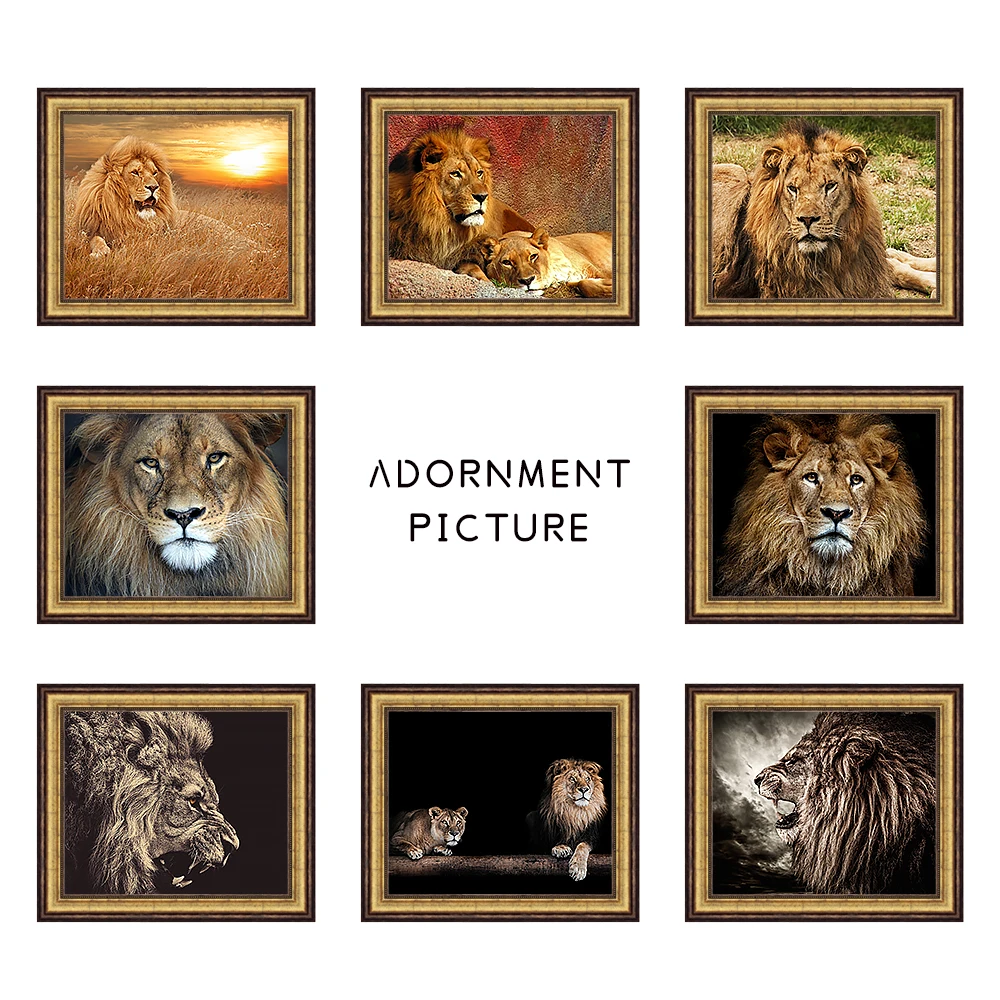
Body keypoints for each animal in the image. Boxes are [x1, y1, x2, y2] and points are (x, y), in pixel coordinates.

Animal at [473, 228, 614, 297]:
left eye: (533, 256)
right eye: (507, 262)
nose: (527, 281)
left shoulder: (594, 270)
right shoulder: (568, 281)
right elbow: (583, 284)